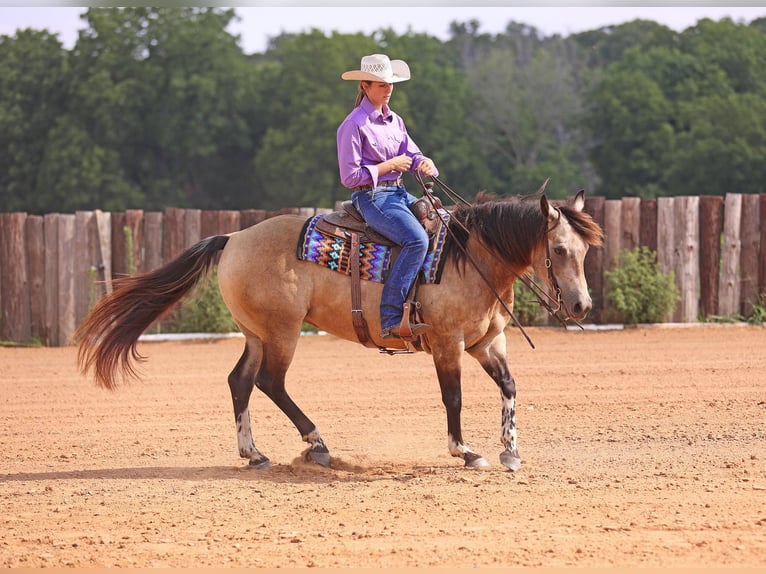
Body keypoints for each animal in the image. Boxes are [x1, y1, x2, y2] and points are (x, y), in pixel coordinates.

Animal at [76, 184, 608, 472]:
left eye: (585, 250)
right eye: (559, 250)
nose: (581, 305)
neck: (469, 257)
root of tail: (234, 237)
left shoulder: (486, 342)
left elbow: (510, 387)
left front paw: (510, 451)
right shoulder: (447, 343)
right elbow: (453, 397)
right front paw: (466, 451)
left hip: (256, 334)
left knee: (240, 381)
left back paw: (255, 453)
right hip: (283, 332)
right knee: (270, 382)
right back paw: (317, 444)